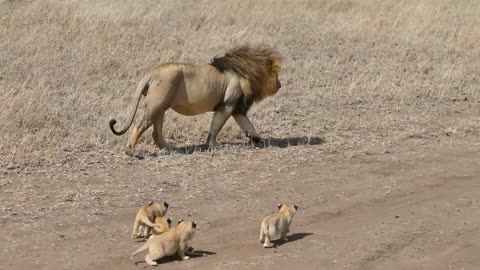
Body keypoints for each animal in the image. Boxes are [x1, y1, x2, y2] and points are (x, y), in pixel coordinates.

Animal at [109, 44, 282, 154]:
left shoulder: (237, 108)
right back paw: (131, 151)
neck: (247, 72)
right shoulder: (227, 105)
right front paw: (213, 146)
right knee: (139, 125)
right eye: (276, 75)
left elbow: (248, 126)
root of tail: (152, 72)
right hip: (155, 105)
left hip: (160, 107)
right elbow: (215, 127)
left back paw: (170, 148)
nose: (280, 85)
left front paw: (258, 140)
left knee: (156, 133)